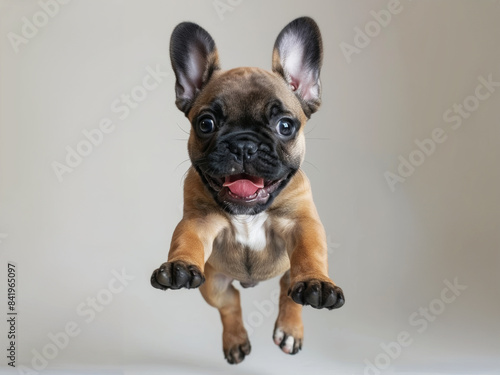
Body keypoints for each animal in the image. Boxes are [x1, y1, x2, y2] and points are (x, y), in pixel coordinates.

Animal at [150, 16, 342, 364]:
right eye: (206, 123)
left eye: (285, 126)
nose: (243, 145)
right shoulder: (199, 220)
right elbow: (185, 240)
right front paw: (179, 265)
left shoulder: (301, 223)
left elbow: (310, 253)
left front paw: (317, 282)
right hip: (213, 281)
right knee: (229, 302)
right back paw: (236, 341)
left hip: (287, 274)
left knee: (288, 293)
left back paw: (289, 330)